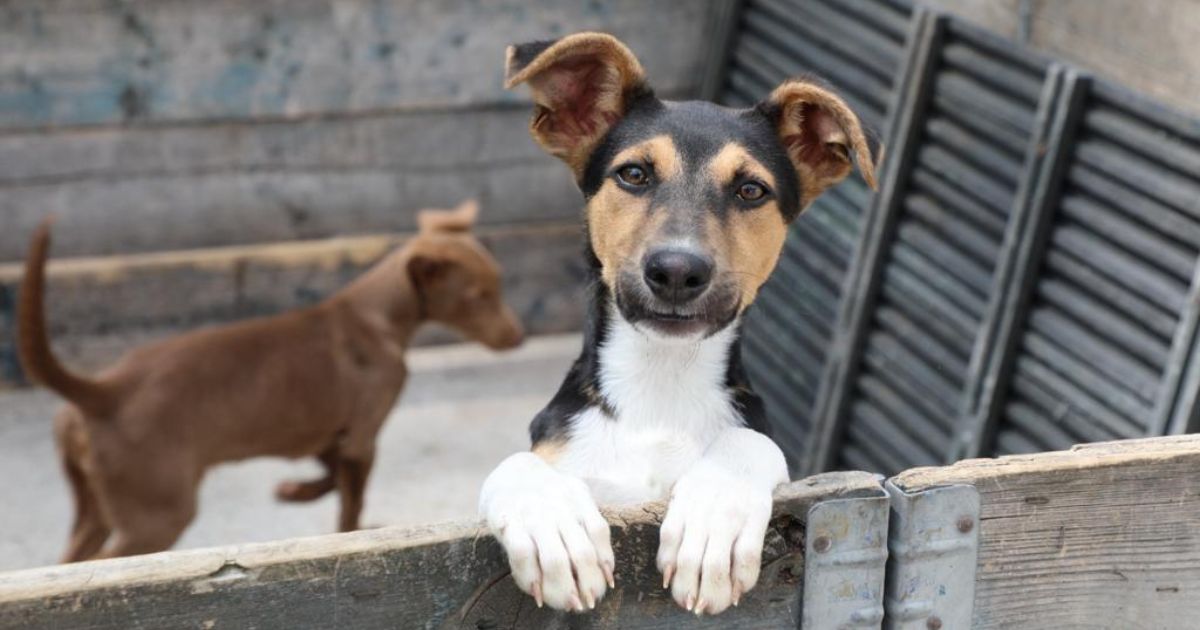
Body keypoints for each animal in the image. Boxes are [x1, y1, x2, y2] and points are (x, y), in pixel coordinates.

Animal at [17, 200, 525, 559]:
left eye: (501, 283)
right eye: (478, 296)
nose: (518, 337)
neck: (372, 315)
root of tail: (103, 391)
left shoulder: (330, 437)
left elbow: (331, 480)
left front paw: (293, 492)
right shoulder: (361, 437)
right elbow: (350, 503)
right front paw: (348, 534)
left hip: (97, 507)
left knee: (73, 558)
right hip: (156, 515)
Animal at [477, 33, 883, 614]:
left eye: (751, 190)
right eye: (633, 174)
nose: (676, 270)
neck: (660, 382)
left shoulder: (764, 442)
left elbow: (748, 444)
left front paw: (712, 524)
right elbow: (517, 465)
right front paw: (554, 529)